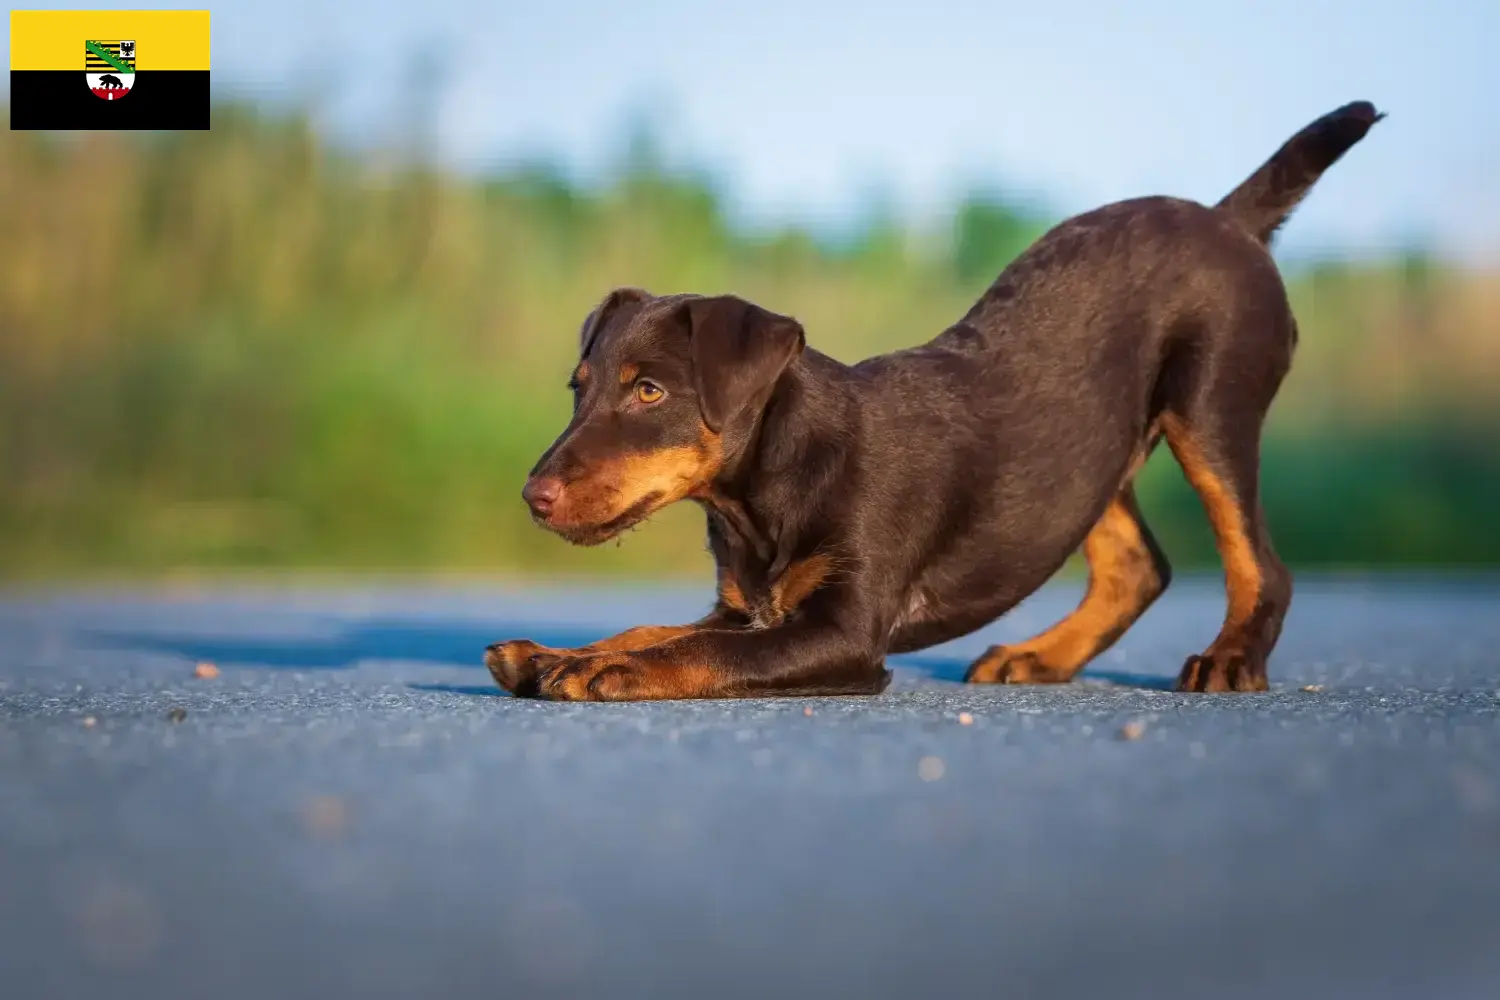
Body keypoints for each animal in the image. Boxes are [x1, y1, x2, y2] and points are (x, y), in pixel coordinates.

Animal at [489, 99, 1380, 695]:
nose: (532, 497)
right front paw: (554, 656)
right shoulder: (748, 611)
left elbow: (689, 650)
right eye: (578, 389)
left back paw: (1230, 661)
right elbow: (654, 626)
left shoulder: (843, 633)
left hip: (1210, 405)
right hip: (1085, 454)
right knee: (1138, 564)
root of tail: (1227, 221)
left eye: (649, 391)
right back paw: (1037, 656)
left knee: (1259, 562)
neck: (767, 488)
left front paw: (598, 670)